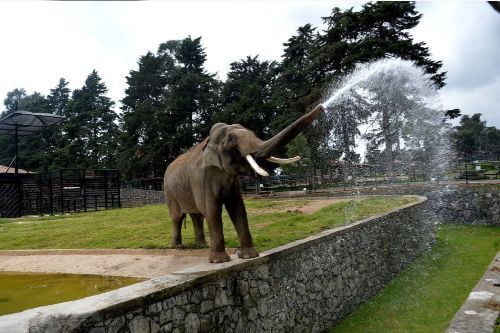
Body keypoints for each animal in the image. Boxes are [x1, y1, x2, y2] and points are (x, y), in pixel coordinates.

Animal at [162, 104, 322, 262]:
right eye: (230, 139)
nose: (321, 107)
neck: (208, 140)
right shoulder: (200, 178)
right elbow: (211, 209)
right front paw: (219, 261)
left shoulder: (232, 181)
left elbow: (237, 208)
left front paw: (249, 256)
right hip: (169, 192)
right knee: (177, 217)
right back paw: (177, 246)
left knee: (197, 215)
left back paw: (201, 245)